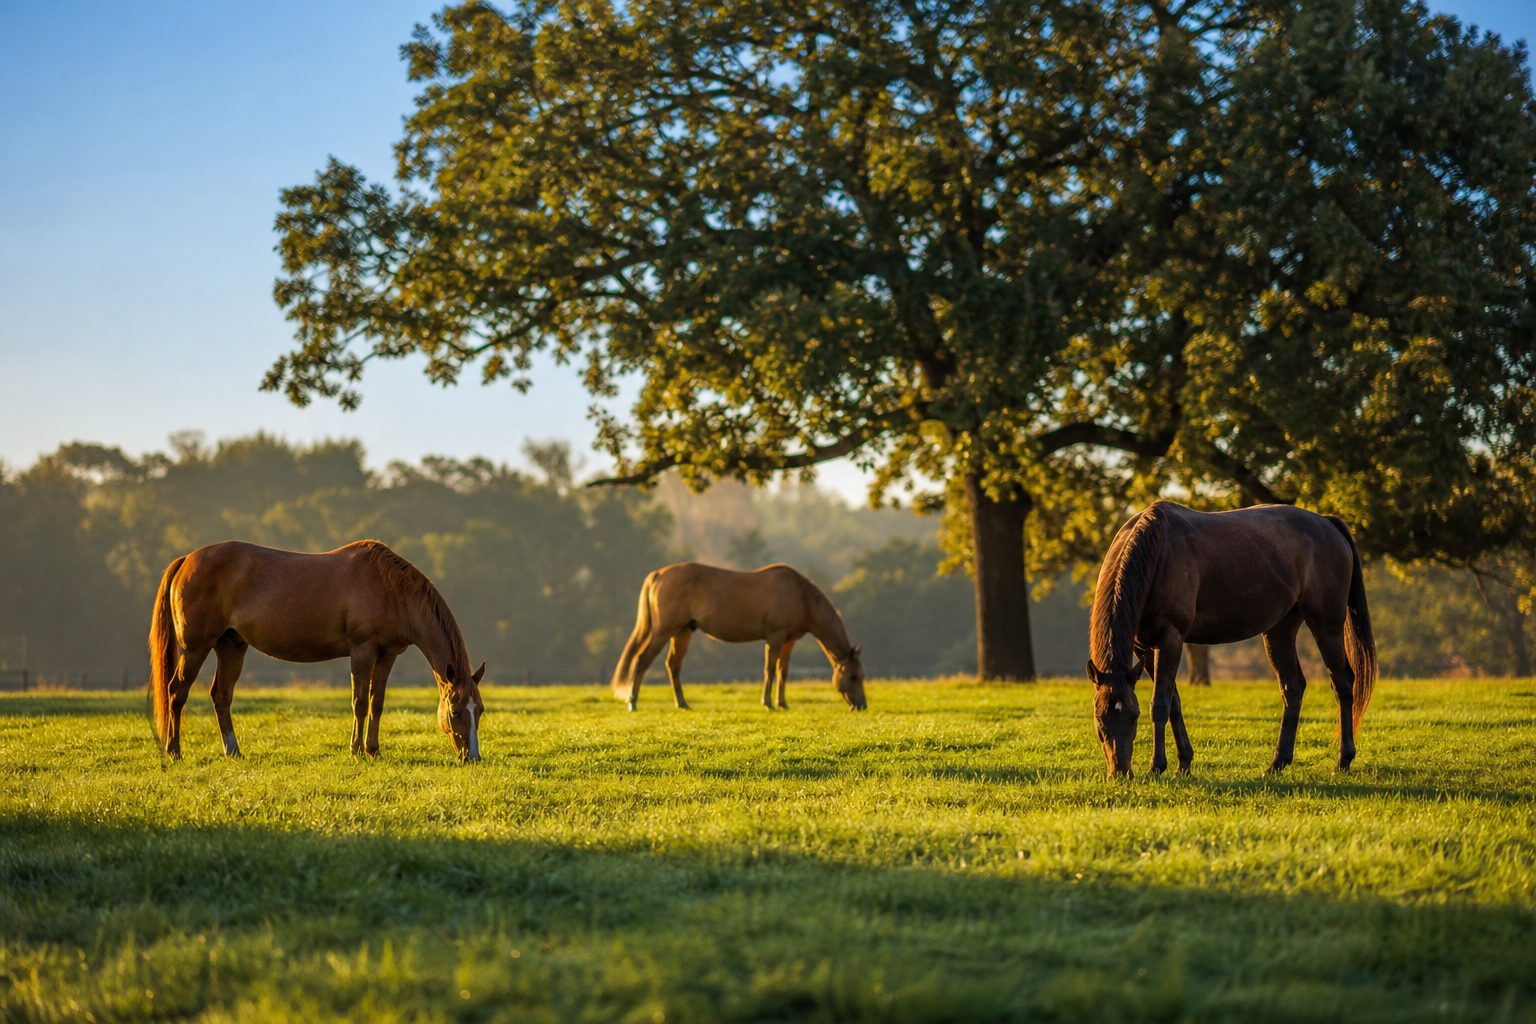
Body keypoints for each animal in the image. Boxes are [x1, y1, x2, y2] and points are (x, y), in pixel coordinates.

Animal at [148, 539, 486, 761]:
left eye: (479, 710)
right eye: (455, 710)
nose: (472, 757)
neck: (389, 588)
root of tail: (187, 559)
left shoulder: (387, 656)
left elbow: (376, 704)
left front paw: (373, 751)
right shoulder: (362, 652)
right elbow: (359, 702)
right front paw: (356, 751)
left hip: (231, 646)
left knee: (221, 695)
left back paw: (233, 751)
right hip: (195, 648)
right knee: (177, 692)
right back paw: (174, 752)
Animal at [610, 562, 867, 712]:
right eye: (853, 676)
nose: (862, 706)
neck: (800, 595)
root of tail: (659, 574)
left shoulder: (789, 641)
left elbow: (783, 671)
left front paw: (783, 703)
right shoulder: (775, 637)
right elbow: (770, 670)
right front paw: (768, 703)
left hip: (682, 631)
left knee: (673, 665)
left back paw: (682, 703)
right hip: (663, 631)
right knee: (642, 660)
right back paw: (633, 702)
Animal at [1086, 501, 1376, 778]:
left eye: (1134, 716)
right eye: (1099, 719)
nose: (1120, 772)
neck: (1158, 550)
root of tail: (1326, 523)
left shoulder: (1170, 639)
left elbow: (1160, 705)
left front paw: (1157, 766)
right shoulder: (1144, 647)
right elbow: (1174, 703)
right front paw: (1184, 763)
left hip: (1326, 625)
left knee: (1342, 684)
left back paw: (1343, 760)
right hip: (1280, 629)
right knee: (1292, 688)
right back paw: (1277, 764)